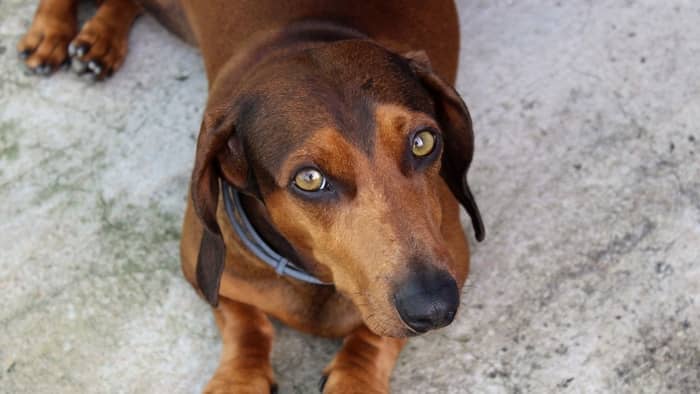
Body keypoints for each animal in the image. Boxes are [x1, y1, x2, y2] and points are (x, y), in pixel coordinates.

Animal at [19, 0, 484, 390]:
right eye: (309, 179)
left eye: (424, 142)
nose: (435, 307)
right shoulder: (201, 266)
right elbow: (246, 323)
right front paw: (239, 378)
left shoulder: (454, 257)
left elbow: (374, 337)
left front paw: (356, 379)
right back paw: (55, 33)